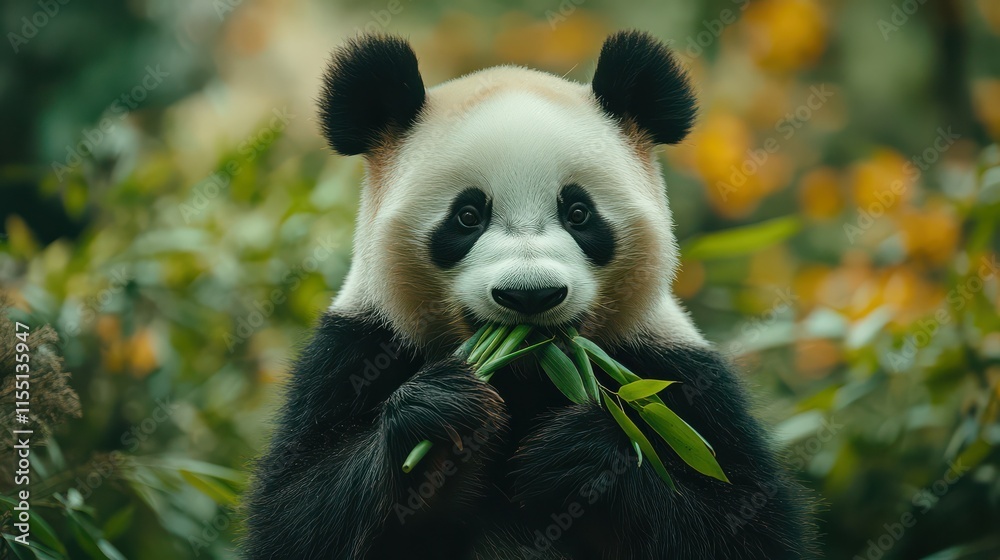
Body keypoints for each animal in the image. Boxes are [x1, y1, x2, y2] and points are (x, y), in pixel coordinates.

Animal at [242, 31, 812, 560]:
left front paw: (581, 455)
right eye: (467, 216)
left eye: (578, 212)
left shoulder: (675, 373)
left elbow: (741, 516)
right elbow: (297, 509)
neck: (530, 374)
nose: (530, 295)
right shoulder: (355, 349)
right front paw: (441, 417)